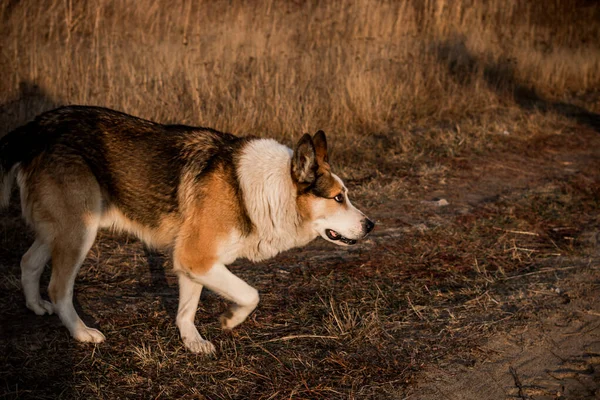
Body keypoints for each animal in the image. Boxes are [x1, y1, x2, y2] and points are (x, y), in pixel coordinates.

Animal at [1, 105, 376, 354]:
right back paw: (81, 333)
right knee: (59, 287)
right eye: (338, 197)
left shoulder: (192, 263)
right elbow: (250, 294)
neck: (261, 189)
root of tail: (40, 124)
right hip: (80, 233)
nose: (371, 225)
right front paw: (231, 320)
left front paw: (192, 342)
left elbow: (187, 309)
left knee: (28, 262)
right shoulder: (197, 258)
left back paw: (35, 306)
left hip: (58, 231)